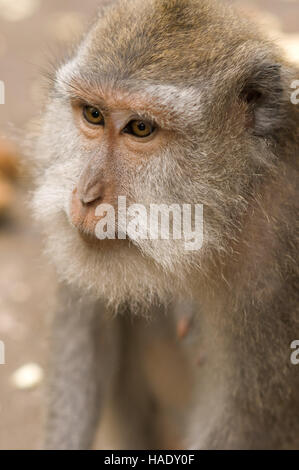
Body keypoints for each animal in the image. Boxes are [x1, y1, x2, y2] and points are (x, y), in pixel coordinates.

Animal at [31, 0, 299, 450]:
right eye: (93, 114)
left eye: (141, 128)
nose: (86, 196)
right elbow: (86, 326)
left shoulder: (276, 264)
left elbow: (245, 420)